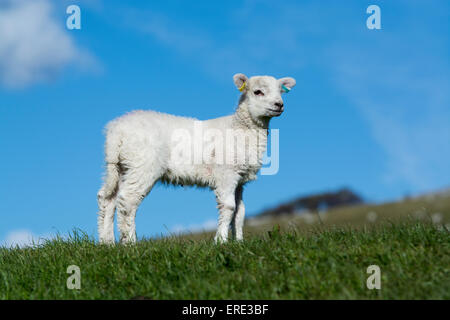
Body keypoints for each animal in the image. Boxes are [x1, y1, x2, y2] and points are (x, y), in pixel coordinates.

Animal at [96, 74, 296, 244]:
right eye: (258, 92)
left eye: (280, 91)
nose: (279, 105)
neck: (240, 127)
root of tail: (117, 130)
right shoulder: (226, 174)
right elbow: (229, 207)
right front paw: (221, 241)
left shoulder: (240, 179)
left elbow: (240, 212)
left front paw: (239, 242)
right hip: (143, 165)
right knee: (128, 200)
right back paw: (129, 242)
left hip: (120, 166)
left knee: (107, 199)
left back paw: (107, 242)